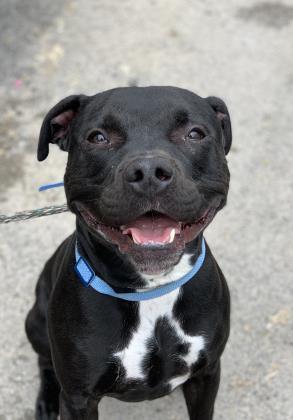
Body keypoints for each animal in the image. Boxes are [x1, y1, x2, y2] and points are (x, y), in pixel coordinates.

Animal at [25, 86, 230, 420]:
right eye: (98, 137)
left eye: (195, 133)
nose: (148, 171)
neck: (150, 293)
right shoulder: (79, 399)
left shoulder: (207, 374)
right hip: (35, 324)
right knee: (45, 362)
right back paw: (46, 401)